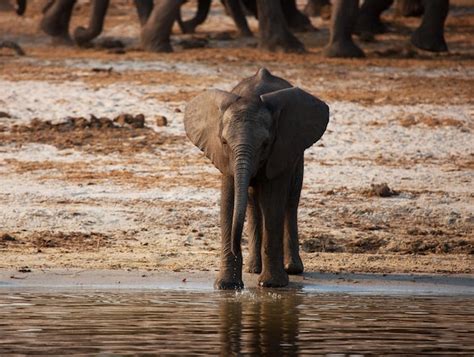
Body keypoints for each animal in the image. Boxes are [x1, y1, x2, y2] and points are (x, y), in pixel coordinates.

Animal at [184, 67, 330, 290]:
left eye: (265, 143)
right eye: (224, 142)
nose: (236, 248)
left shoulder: (280, 149)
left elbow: (273, 202)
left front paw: (272, 285)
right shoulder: (224, 158)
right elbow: (229, 200)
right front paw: (227, 286)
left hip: (297, 155)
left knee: (291, 201)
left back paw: (292, 268)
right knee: (253, 202)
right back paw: (253, 268)